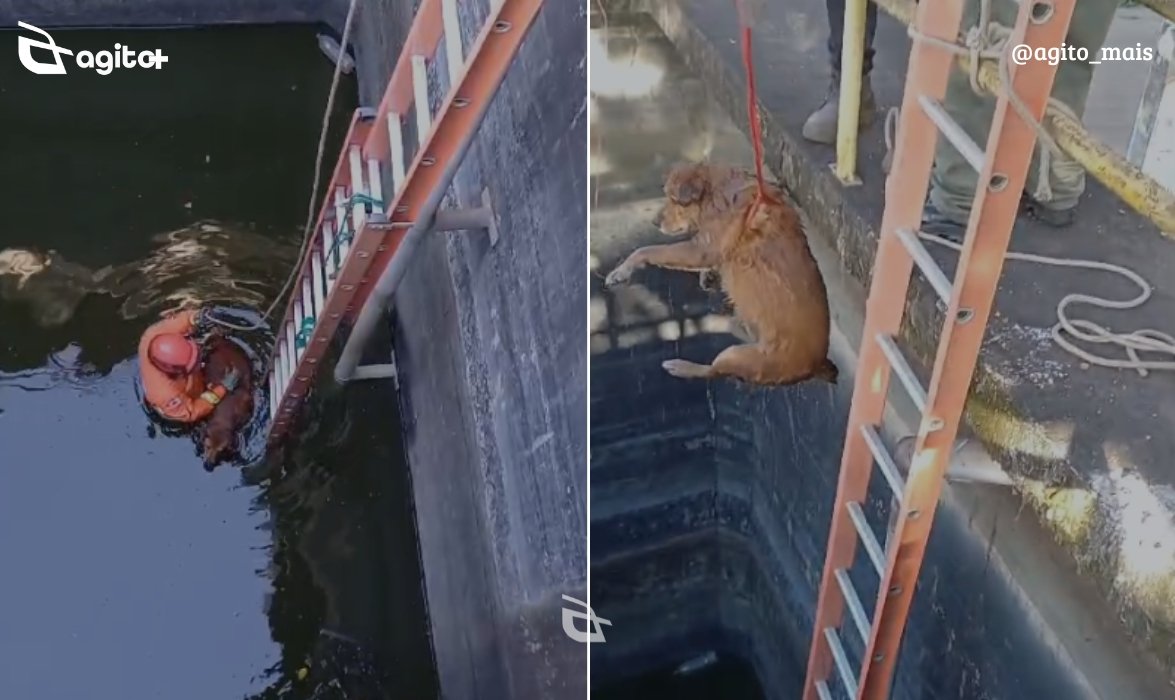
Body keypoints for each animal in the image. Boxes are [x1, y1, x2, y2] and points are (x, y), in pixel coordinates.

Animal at [606, 162, 836, 385]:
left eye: (674, 200)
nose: (655, 222)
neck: (718, 193)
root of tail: (817, 364)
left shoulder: (701, 250)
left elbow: (648, 250)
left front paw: (621, 270)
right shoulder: (707, 251)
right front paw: (707, 275)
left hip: (736, 355)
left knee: (712, 371)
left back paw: (683, 364)